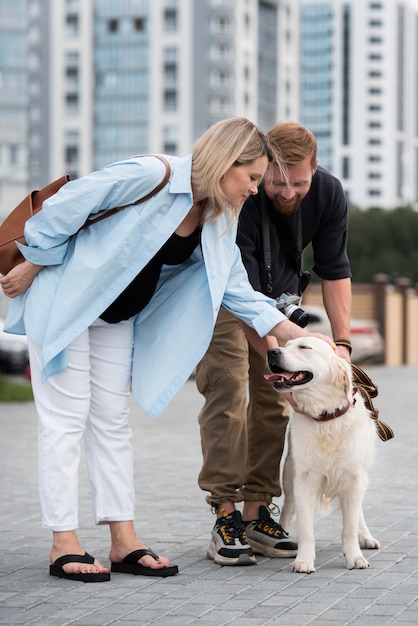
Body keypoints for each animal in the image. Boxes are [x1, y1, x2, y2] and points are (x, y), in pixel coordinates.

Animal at [266, 336, 380, 572]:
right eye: (286, 344)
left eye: (304, 347)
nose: (271, 351)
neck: (326, 417)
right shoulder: (305, 480)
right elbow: (306, 528)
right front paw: (303, 560)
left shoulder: (353, 477)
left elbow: (350, 526)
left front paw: (354, 556)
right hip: (290, 474)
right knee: (288, 509)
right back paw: (284, 535)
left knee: (357, 512)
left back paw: (366, 537)